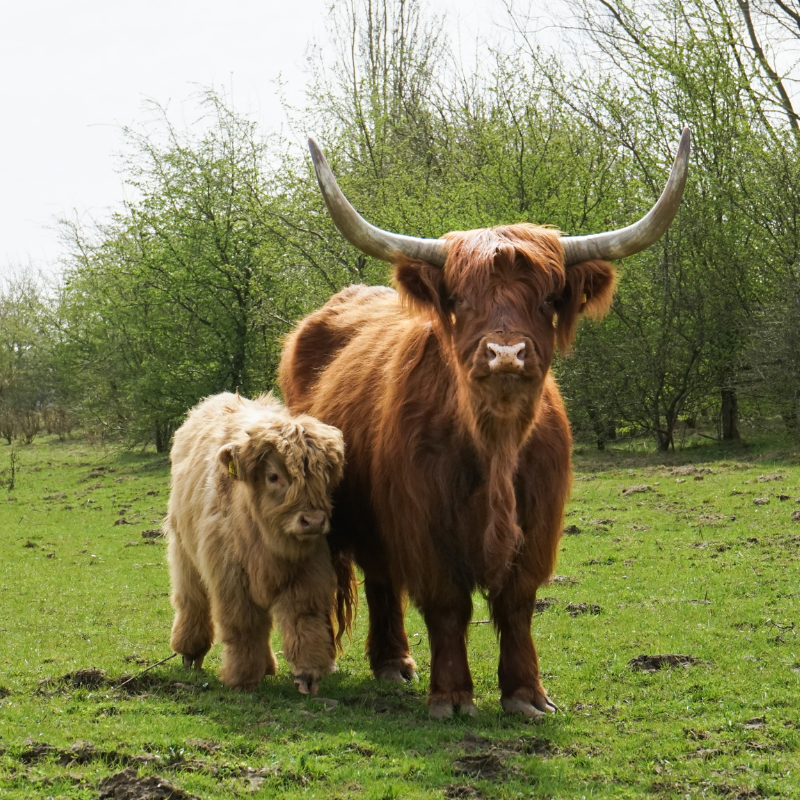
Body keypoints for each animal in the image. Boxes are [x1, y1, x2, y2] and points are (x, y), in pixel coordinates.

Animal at [166, 394, 354, 692]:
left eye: (323, 476)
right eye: (273, 476)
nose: (313, 520)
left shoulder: (308, 571)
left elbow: (303, 619)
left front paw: (308, 674)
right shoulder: (230, 578)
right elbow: (244, 626)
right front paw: (242, 679)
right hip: (183, 551)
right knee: (191, 600)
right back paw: (190, 651)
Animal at [278, 131, 692, 720]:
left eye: (547, 299)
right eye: (460, 299)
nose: (505, 354)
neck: (495, 444)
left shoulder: (538, 522)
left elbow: (517, 604)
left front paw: (526, 694)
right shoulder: (423, 524)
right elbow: (447, 606)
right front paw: (451, 696)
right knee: (380, 576)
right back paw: (392, 663)